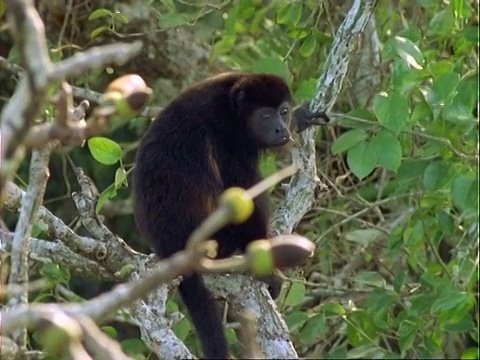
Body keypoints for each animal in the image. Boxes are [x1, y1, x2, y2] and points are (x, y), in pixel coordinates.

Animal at [134, 71, 330, 358]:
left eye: (282, 111)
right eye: (265, 116)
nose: (281, 128)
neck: (234, 109)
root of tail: (170, 245)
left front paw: (300, 118)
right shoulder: (228, 140)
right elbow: (243, 193)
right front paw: (264, 267)